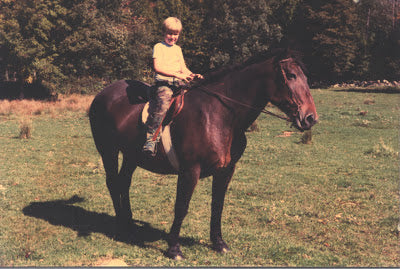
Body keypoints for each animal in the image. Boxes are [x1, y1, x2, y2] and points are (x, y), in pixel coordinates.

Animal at [89, 49, 318, 258]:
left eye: (306, 77)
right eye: (291, 76)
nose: (310, 118)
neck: (219, 115)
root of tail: (103, 93)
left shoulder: (226, 170)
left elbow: (217, 206)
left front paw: (219, 243)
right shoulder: (190, 170)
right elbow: (181, 206)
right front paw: (174, 249)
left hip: (131, 155)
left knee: (124, 182)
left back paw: (129, 224)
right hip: (108, 150)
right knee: (113, 182)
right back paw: (121, 227)